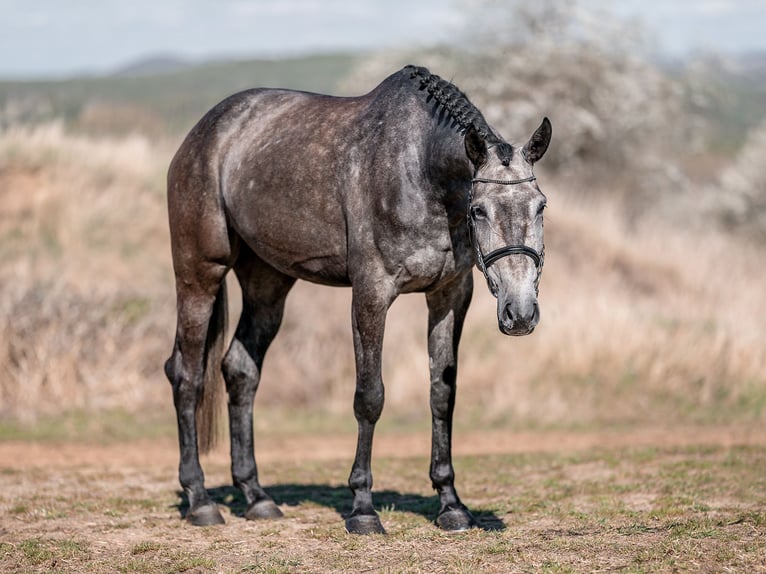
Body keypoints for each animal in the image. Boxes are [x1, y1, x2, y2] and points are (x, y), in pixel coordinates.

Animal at [166, 64, 552, 536]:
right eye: (478, 209)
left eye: (540, 206)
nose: (520, 313)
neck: (419, 170)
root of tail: (202, 135)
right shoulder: (371, 294)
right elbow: (369, 397)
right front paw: (363, 509)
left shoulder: (449, 295)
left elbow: (442, 393)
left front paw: (451, 504)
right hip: (199, 275)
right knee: (187, 375)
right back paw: (200, 500)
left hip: (267, 283)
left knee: (240, 370)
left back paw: (257, 497)